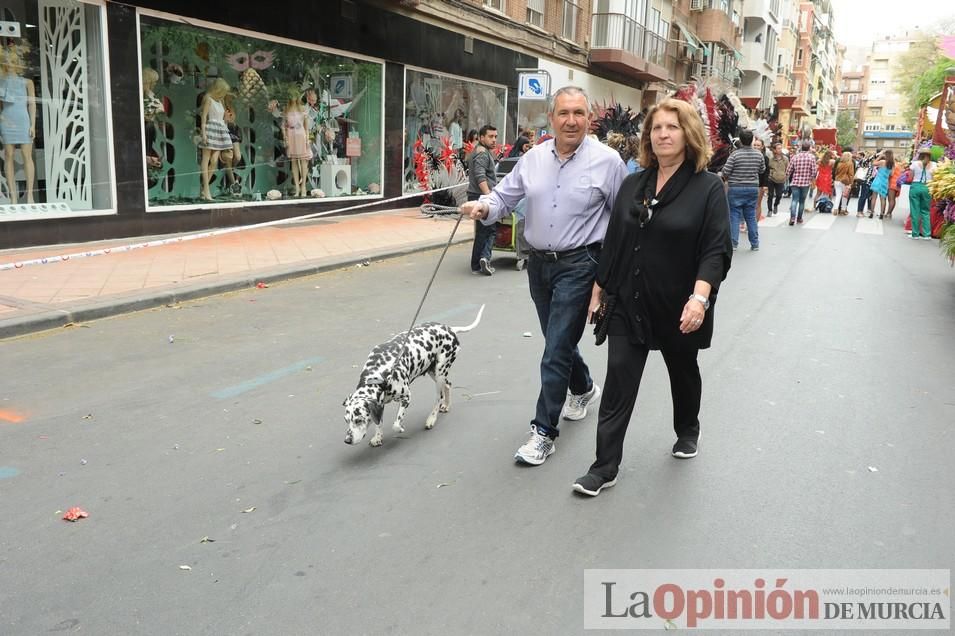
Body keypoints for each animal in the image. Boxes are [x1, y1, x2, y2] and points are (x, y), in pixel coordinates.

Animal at [344, 304, 486, 448]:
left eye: (359, 420)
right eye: (346, 420)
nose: (347, 440)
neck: (380, 373)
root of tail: (450, 329)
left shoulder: (406, 397)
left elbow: (396, 424)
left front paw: (399, 428)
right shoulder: (380, 404)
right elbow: (378, 423)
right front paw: (378, 437)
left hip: (440, 373)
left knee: (438, 397)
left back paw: (431, 419)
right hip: (433, 372)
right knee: (448, 385)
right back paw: (446, 405)